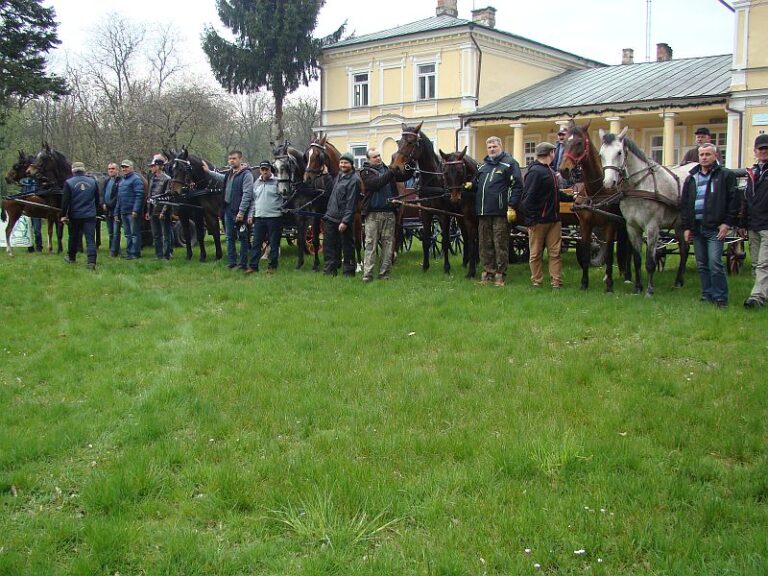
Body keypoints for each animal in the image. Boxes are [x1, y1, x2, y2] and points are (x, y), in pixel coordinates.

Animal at [438, 146, 480, 276]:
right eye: (445, 172)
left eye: (460, 171)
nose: (455, 199)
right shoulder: (467, 218)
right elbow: (470, 241)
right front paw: (471, 269)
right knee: (466, 237)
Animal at [560, 122, 632, 292]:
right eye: (564, 142)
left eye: (579, 143)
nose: (564, 169)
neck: (596, 192)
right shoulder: (585, 224)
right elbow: (586, 253)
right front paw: (584, 283)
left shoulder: (610, 224)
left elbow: (609, 254)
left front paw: (610, 285)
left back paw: (627, 276)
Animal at [596, 127, 692, 294]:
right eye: (601, 154)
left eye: (619, 153)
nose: (608, 183)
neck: (639, 187)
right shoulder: (632, 226)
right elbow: (637, 259)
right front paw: (637, 287)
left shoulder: (652, 227)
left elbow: (650, 261)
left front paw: (649, 290)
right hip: (679, 225)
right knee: (684, 249)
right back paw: (678, 281)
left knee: (685, 250)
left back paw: (679, 280)